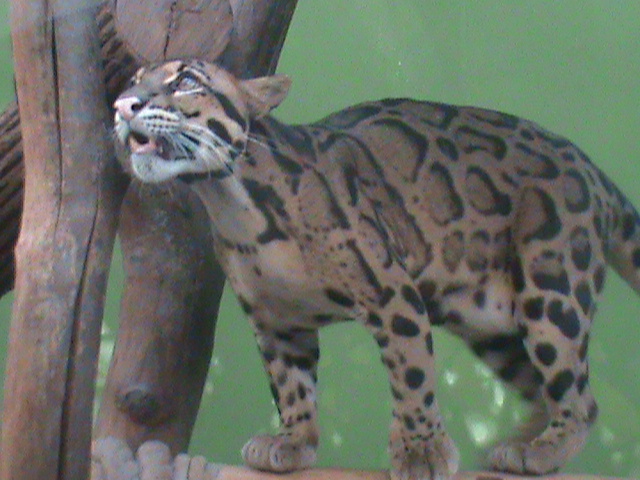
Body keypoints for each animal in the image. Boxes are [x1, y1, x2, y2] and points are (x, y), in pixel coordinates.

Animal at [113, 59, 640, 480]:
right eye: (135, 79)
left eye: (186, 81)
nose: (122, 104)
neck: (233, 206)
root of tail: (593, 170)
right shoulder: (276, 321)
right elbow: (291, 386)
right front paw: (294, 442)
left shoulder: (392, 294)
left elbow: (412, 376)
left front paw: (421, 451)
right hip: (490, 326)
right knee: (542, 388)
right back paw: (517, 443)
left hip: (551, 290)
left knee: (581, 399)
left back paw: (543, 452)